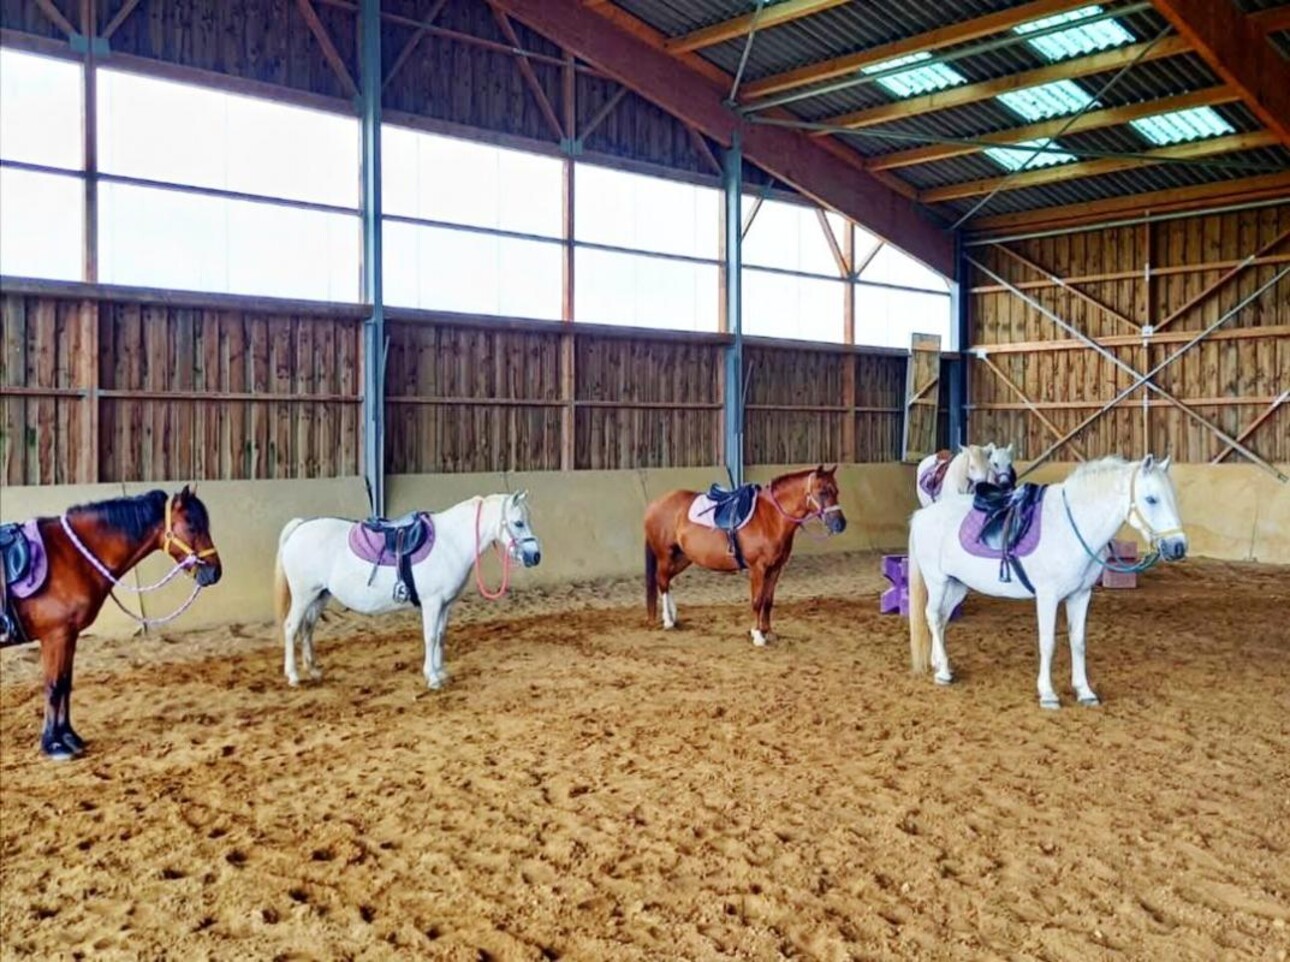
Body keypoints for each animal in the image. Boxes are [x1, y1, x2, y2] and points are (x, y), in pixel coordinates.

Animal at [1, 487, 221, 758]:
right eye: (192, 526)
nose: (215, 572)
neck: (68, 555)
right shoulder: (55, 636)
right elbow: (54, 686)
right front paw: (54, 745)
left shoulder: (69, 636)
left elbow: (65, 684)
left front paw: (69, 737)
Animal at [272, 490, 539, 686]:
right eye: (518, 523)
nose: (535, 556)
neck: (450, 542)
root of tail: (300, 527)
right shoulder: (432, 603)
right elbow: (430, 636)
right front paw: (432, 677)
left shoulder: (446, 604)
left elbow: (441, 635)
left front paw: (441, 672)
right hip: (304, 596)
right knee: (292, 628)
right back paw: (293, 676)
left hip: (320, 596)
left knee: (307, 629)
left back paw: (313, 670)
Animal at [645, 464, 846, 644]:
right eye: (822, 492)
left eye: (836, 491)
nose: (840, 524)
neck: (771, 518)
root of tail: (654, 504)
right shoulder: (758, 568)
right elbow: (757, 600)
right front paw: (758, 635)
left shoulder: (775, 568)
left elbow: (768, 601)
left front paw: (768, 632)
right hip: (665, 555)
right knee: (662, 580)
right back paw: (668, 621)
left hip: (683, 557)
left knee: (666, 580)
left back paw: (673, 616)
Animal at [913, 453, 1181, 706]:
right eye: (1151, 499)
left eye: (1172, 497)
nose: (1178, 546)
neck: (1071, 527)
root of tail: (921, 515)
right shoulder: (1048, 597)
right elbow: (1047, 643)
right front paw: (1048, 694)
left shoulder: (1080, 595)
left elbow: (1078, 642)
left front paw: (1085, 692)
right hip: (938, 582)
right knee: (933, 616)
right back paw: (943, 673)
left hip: (957, 585)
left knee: (942, 619)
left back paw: (940, 664)